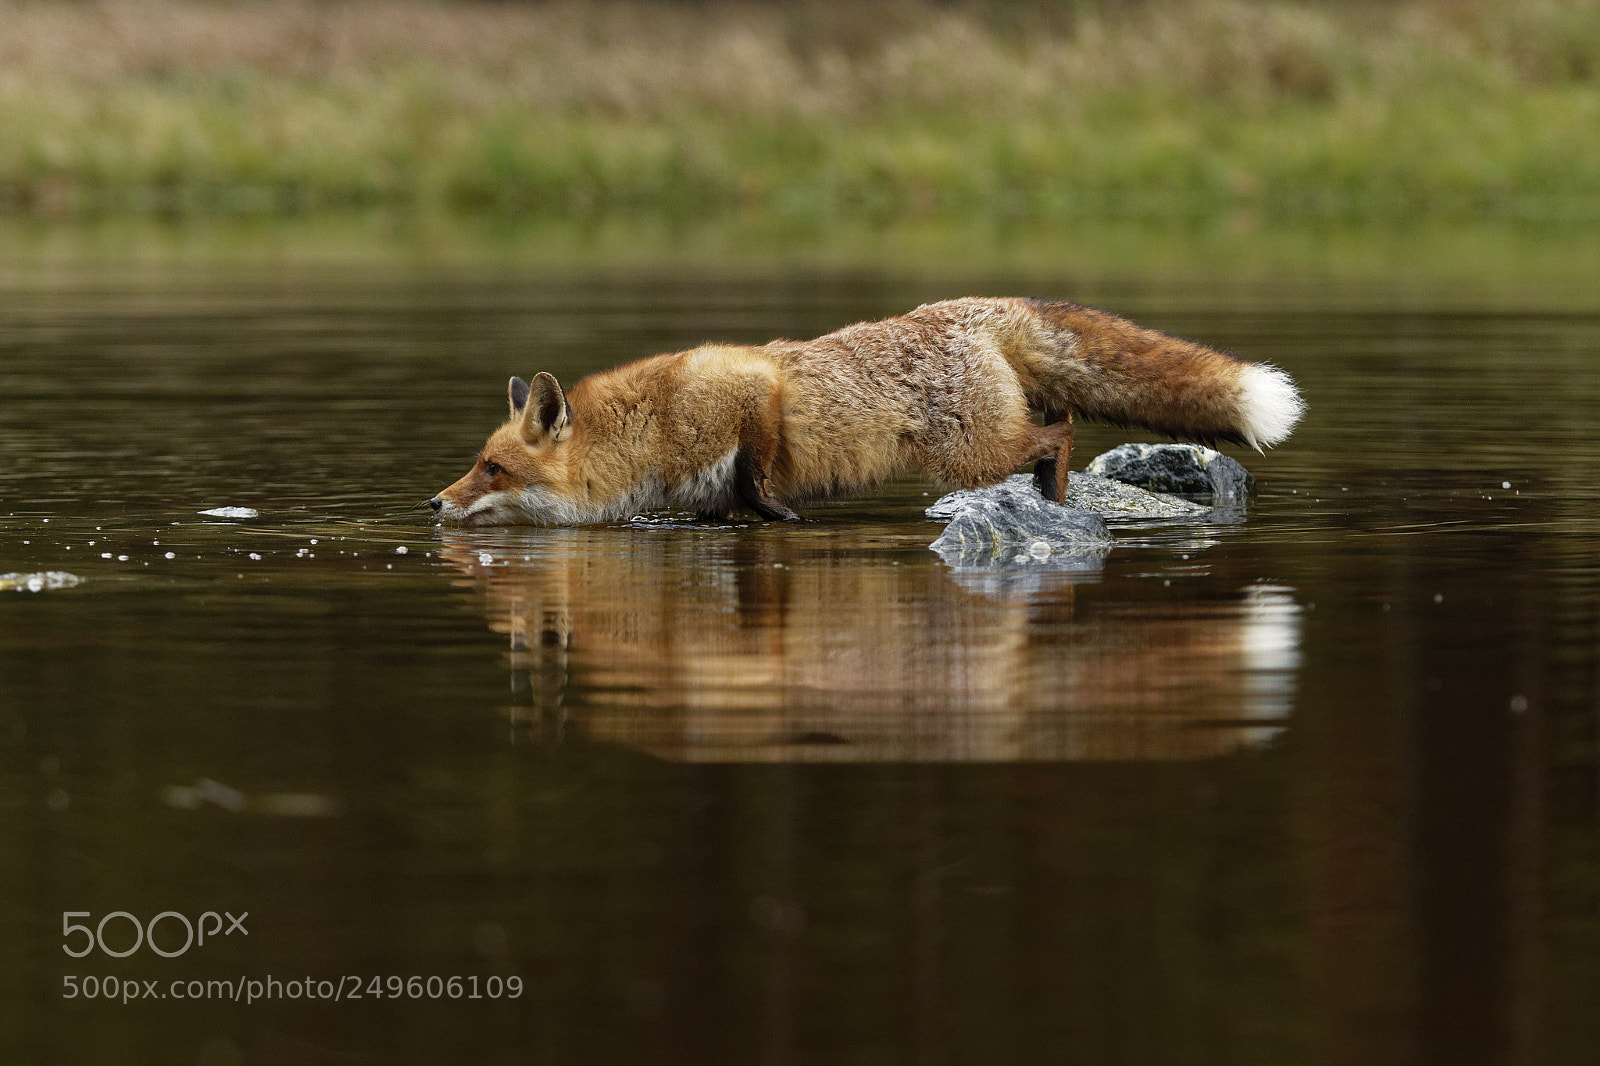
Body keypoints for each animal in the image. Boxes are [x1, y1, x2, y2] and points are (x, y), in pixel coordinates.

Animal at [429, 297, 1303, 526]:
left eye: (492, 467)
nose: (433, 504)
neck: (650, 429)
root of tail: (978, 306)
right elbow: (729, 502)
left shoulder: (748, 387)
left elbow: (756, 475)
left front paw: (782, 513)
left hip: (967, 453)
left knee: (1058, 434)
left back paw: (1052, 500)